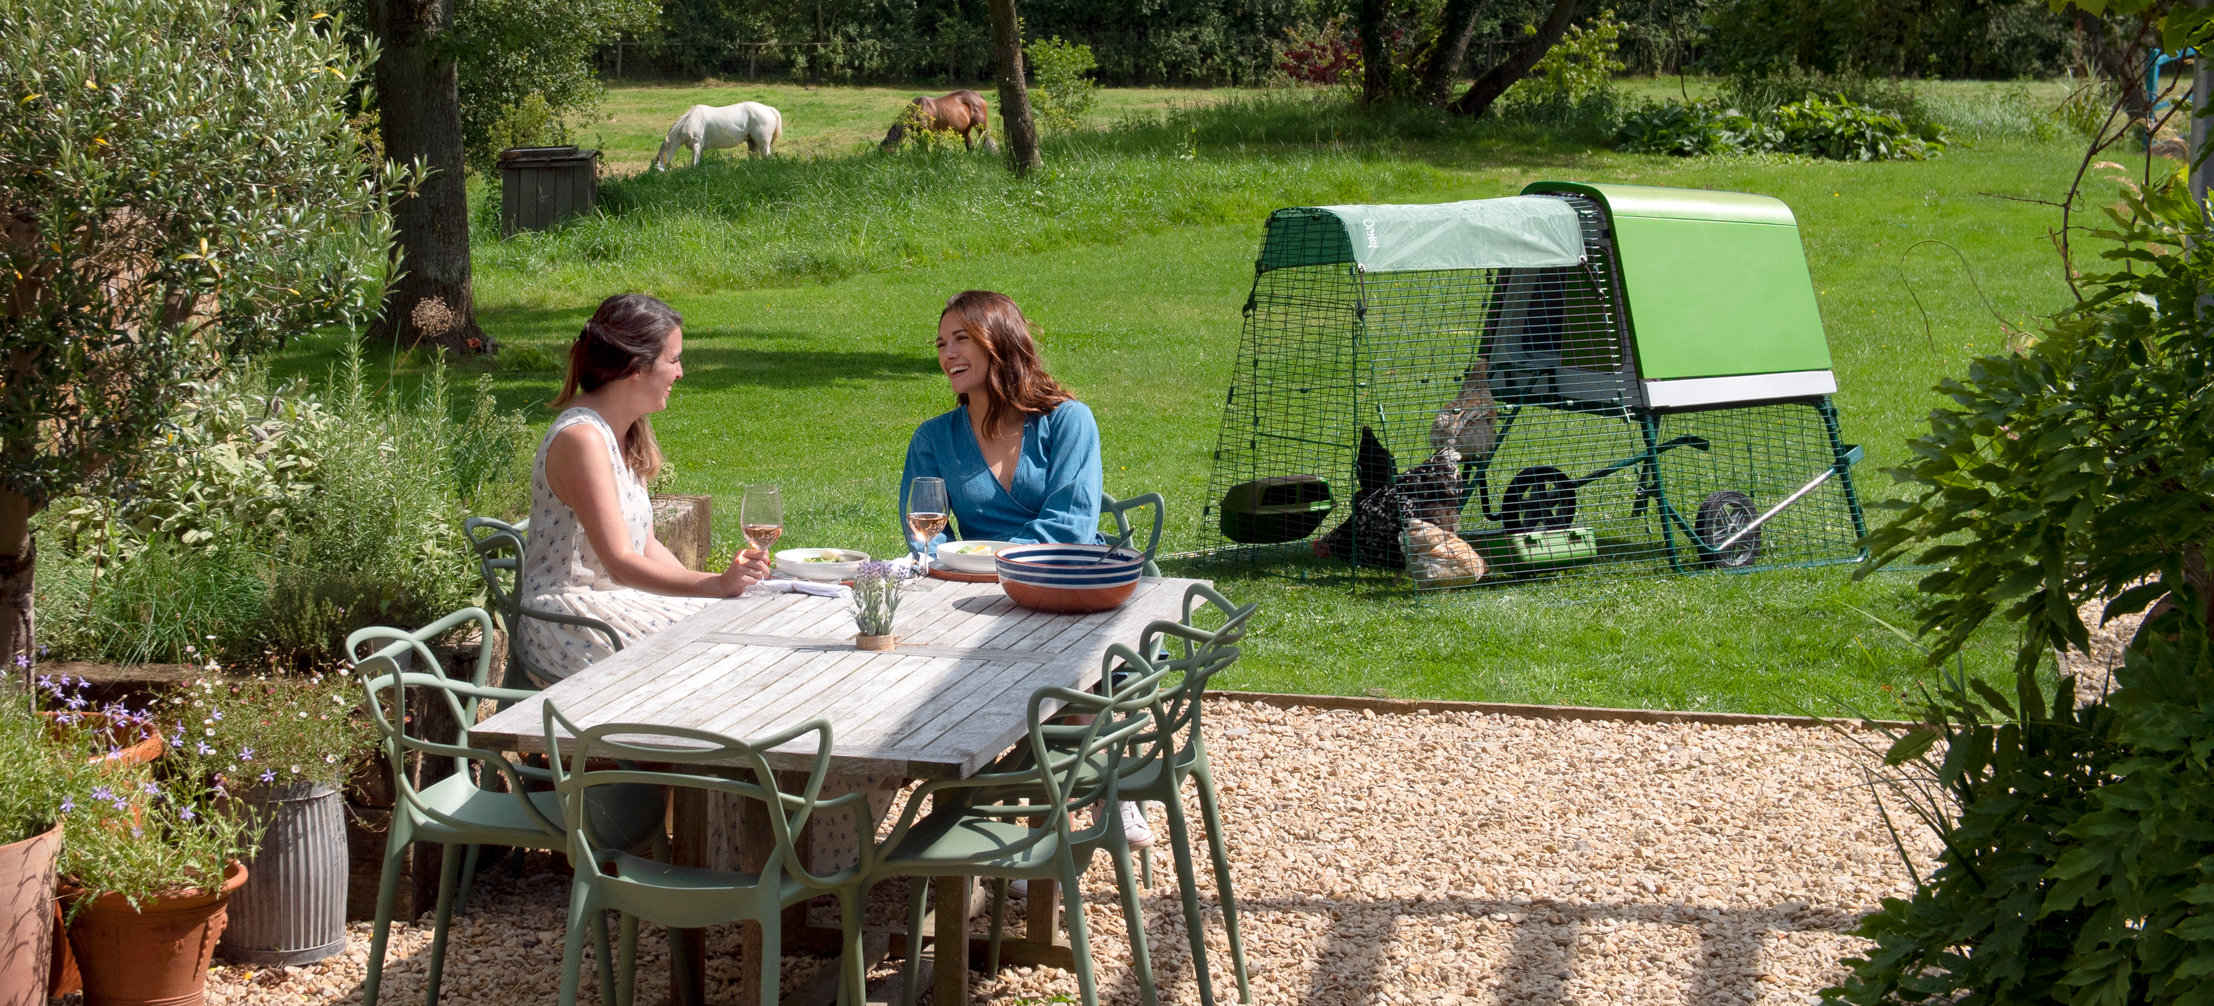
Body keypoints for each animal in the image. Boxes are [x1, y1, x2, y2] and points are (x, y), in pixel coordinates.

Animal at [650, 101, 783, 169]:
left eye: (655, 169)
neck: (688, 121)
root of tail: (768, 109)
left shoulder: (696, 144)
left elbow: (694, 161)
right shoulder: (700, 147)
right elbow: (699, 160)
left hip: (763, 143)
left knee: (766, 155)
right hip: (751, 142)